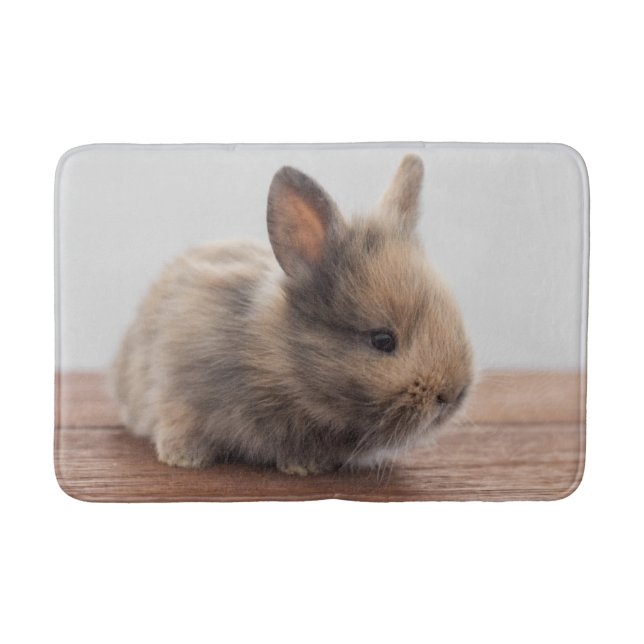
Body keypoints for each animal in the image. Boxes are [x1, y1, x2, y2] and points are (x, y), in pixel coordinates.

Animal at [109, 154, 473, 475]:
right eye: (382, 340)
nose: (452, 395)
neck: (276, 363)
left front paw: (306, 465)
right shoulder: (179, 386)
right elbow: (180, 422)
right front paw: (184, 459)